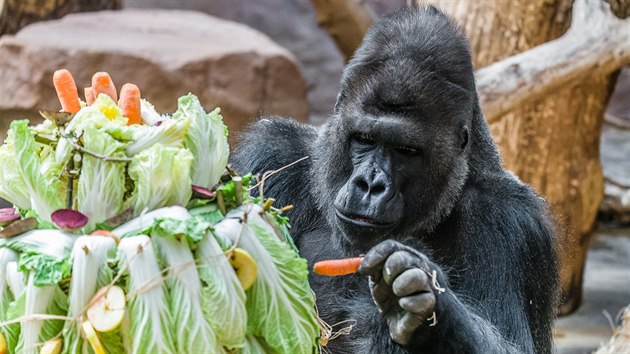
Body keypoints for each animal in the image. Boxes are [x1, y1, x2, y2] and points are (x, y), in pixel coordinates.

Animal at [232, 5, 556, 354]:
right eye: (364, 138)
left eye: (407, 151)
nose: (371, 185)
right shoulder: (270, 153)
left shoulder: (510, 218)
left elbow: (513, 343)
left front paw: (427, 301)